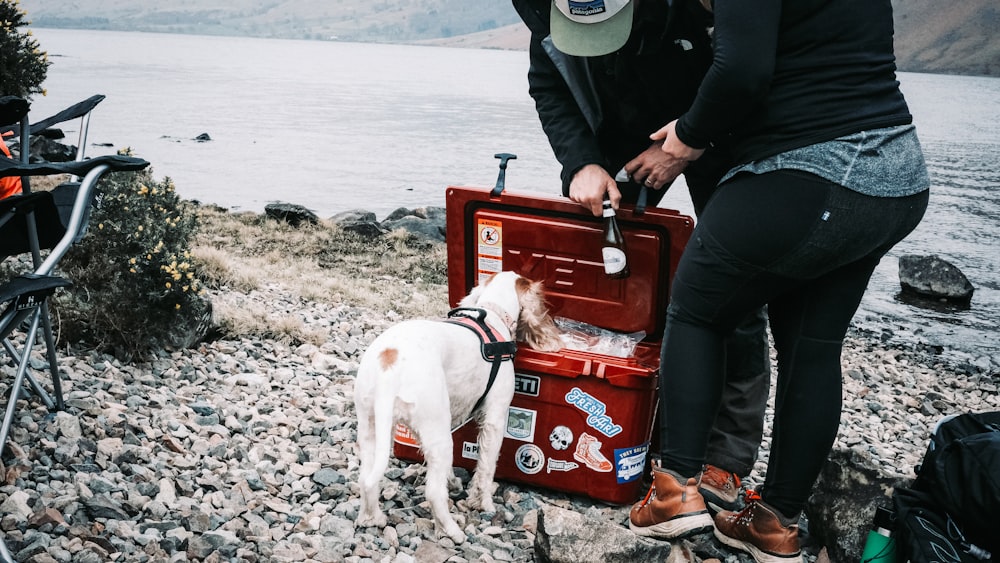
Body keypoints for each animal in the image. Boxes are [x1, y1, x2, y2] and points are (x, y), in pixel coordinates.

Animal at [356, 270, 568, 544]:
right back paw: (452, 531)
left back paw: (372, 518)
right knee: (434, 493)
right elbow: (486, 467)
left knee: (366, 479)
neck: (493, 313)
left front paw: (455, 482)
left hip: (372, 428)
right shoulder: (495, 417)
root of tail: (388, 361)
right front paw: (484, 504)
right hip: (439, 435)